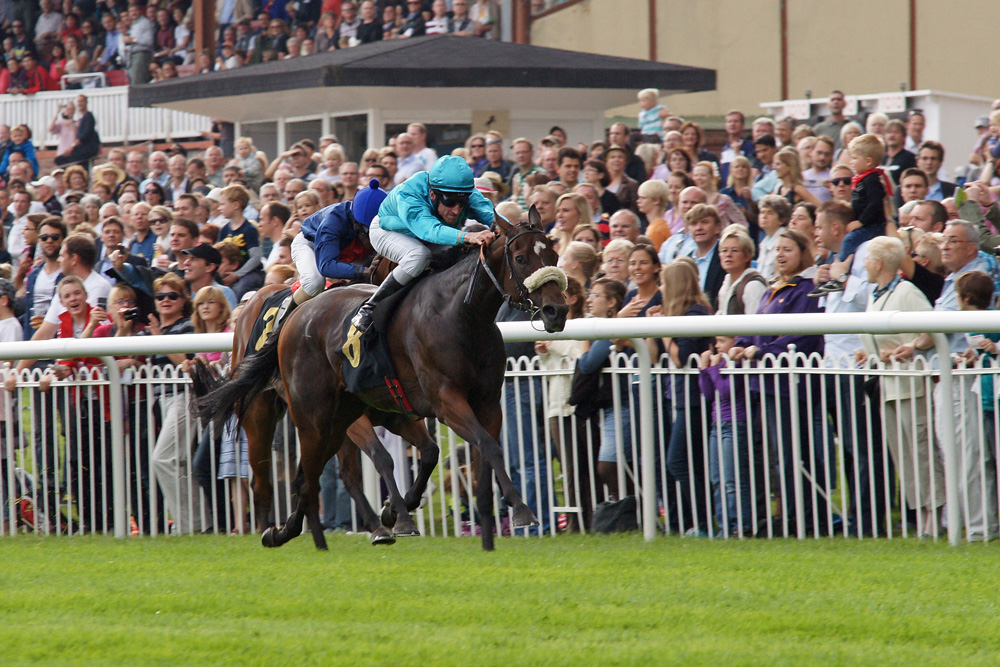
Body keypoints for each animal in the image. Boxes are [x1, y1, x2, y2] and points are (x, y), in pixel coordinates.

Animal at [201, 209, 572, 552]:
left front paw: (403, 511)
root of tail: (288, 320)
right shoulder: (445, 400)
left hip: (334, 421)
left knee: (310, 475)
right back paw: (272, 529)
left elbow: (458, 452)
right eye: (521, 258)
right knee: (273, 475)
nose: (557, 311)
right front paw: (520, 509)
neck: (461, 315)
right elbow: (412, 454)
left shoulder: (478, 403)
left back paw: (298, 530)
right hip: (289, 414)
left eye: (554, 256)